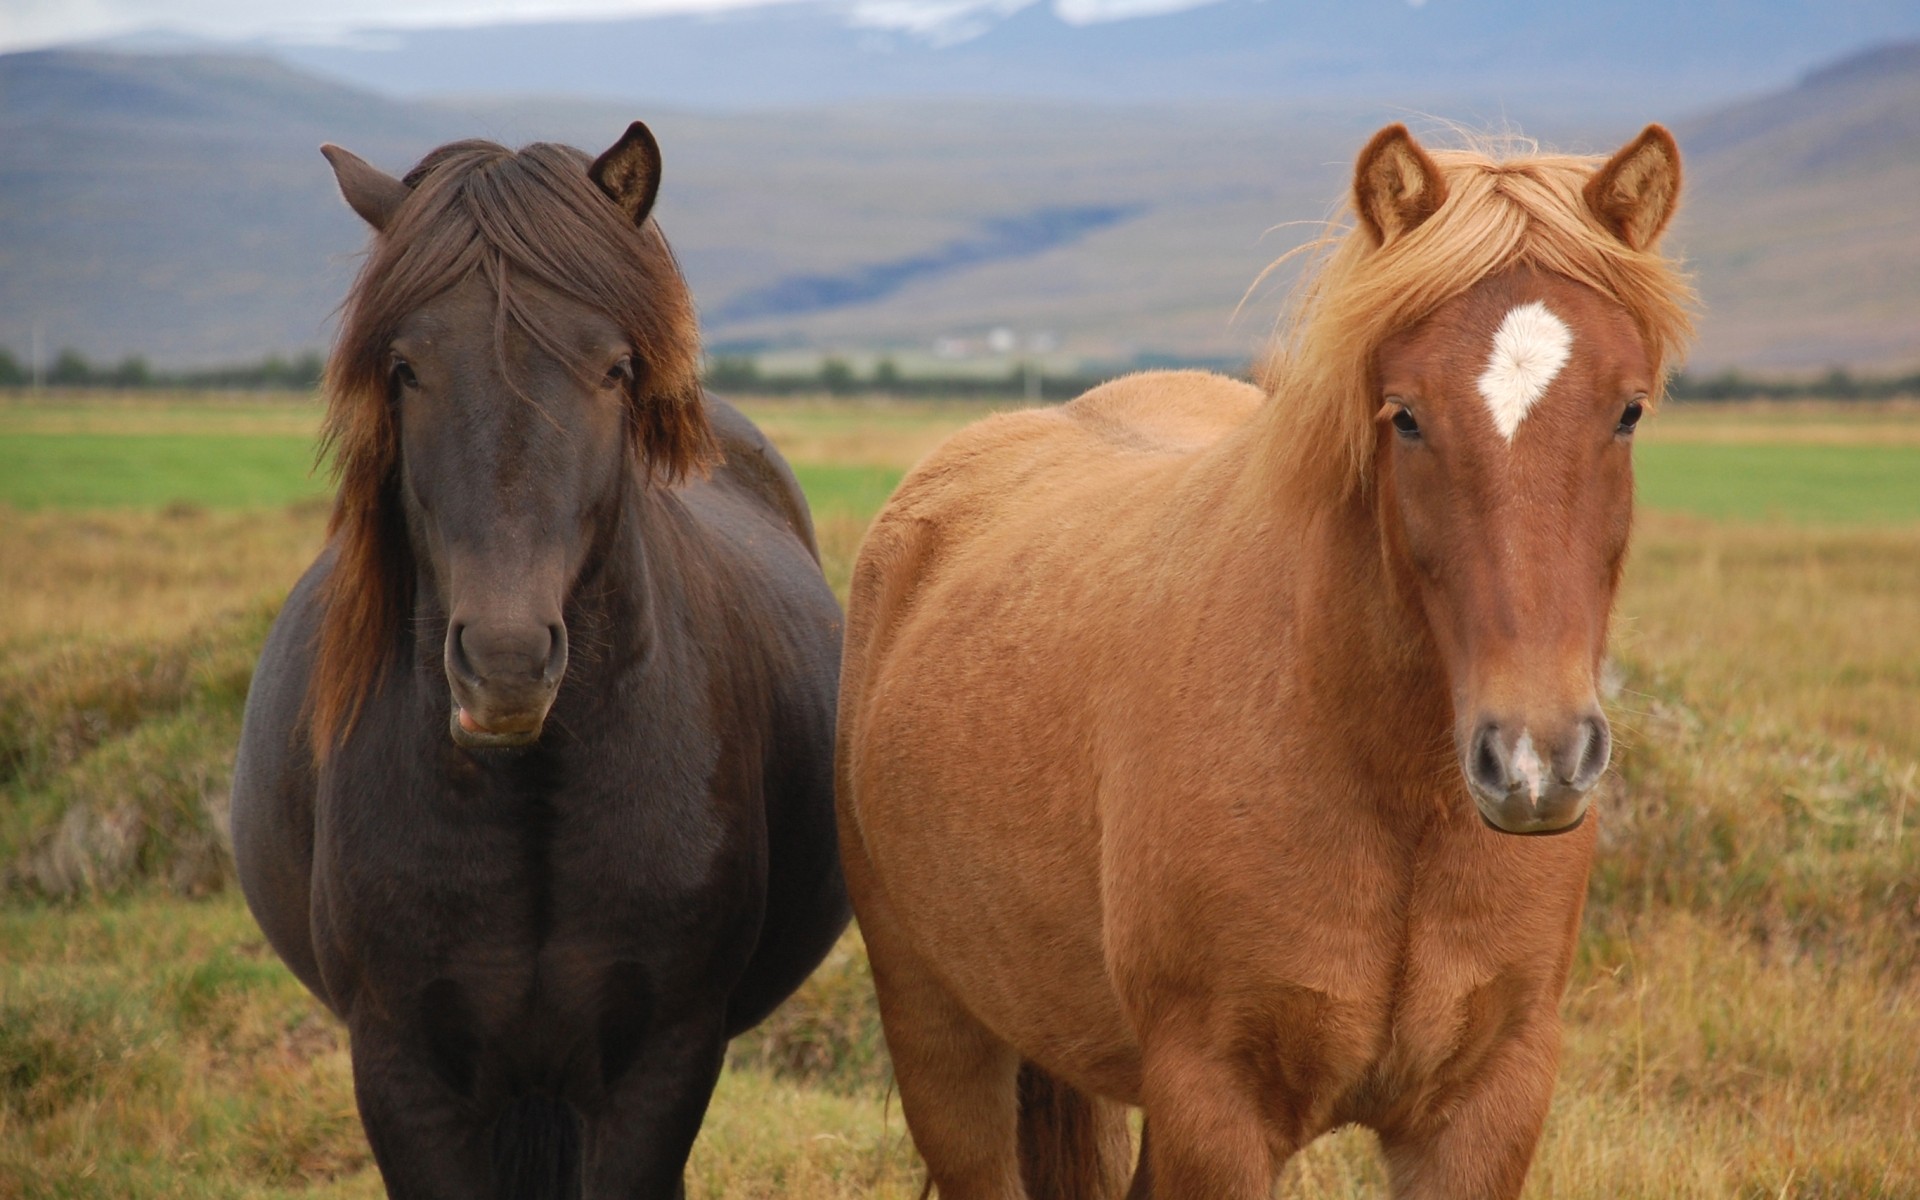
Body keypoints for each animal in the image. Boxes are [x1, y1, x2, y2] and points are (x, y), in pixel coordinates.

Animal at [840, 123, 1697, 1198]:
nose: (1536, 760)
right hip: (941, 1033)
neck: (1393, 794)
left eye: (1627, 412)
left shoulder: (1485, 1109)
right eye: (1405, 414)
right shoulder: (1218, 1110)